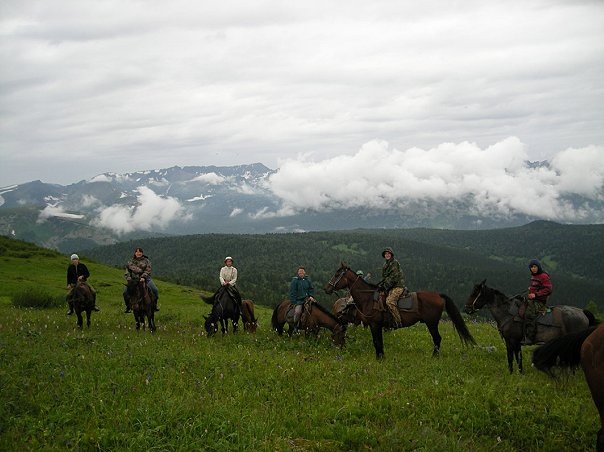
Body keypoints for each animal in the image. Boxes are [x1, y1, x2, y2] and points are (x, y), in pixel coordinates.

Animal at [324, 264, 474, 358]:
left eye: (337, 274)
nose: (326, 288)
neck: (368, 298)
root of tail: (438, 295)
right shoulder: (375, 325)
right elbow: (378, 342)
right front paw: (381, 357)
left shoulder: (375, 325)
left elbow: (377, 341)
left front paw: (380, 358)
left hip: (431, 323)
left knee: (437, 338)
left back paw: (434, 357)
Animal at [464, 280, 596, 372]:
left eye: (475, 293)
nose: (467, 309)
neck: (507, 314)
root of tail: (582, 312)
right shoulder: (508, 342)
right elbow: (510, 358)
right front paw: (511, 373)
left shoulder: (515, 341)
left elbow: (518, 358)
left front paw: (520, 374)